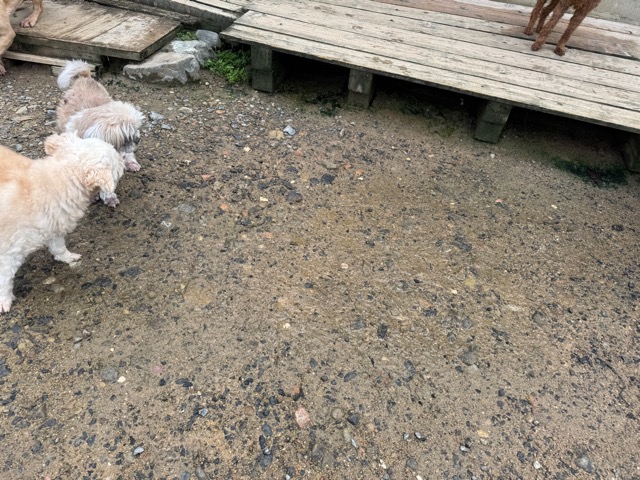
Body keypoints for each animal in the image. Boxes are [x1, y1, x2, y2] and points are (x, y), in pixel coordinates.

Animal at [0, 133, 123, 313]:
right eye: (115, 157)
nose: (124, 160)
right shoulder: (8, 254)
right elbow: (4, 280)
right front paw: (4, 300)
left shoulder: (53, 228)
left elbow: (59, 248)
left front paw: (68, 258)